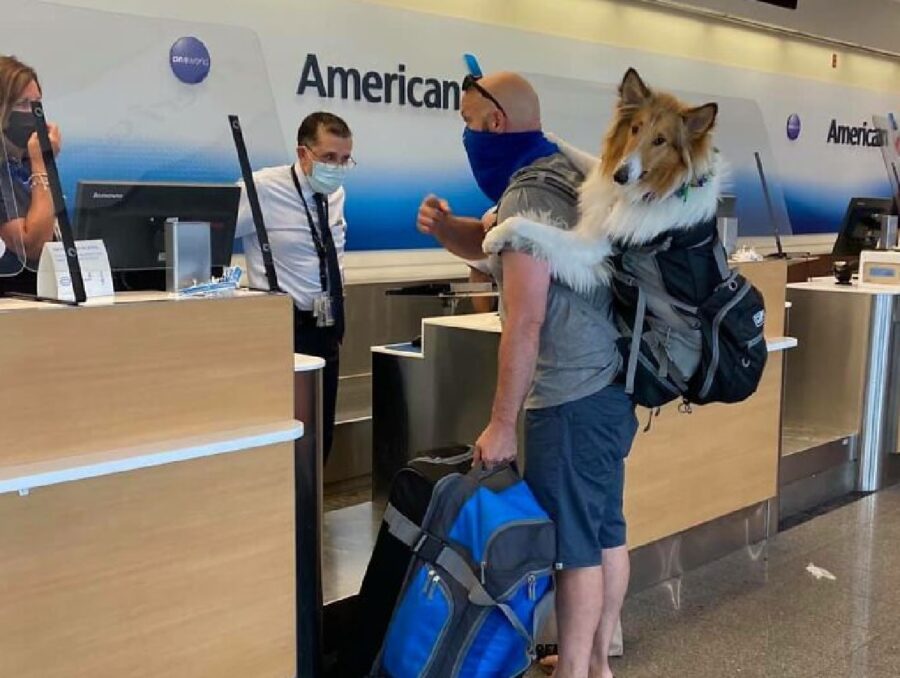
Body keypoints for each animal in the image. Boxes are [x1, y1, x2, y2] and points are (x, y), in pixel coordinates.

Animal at [486, 67, 724, 290]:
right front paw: (550, 136)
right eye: (635, 128)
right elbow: (584, 156)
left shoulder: (590, 244)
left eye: (660, 140)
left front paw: (495, 236)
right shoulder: (601, 174)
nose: (620, 176)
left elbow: (525, 224)